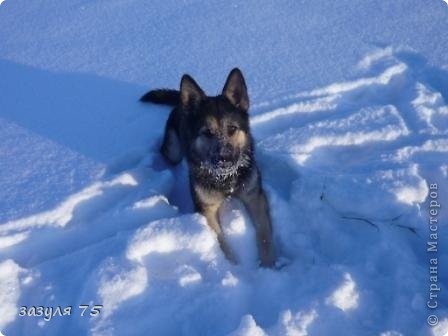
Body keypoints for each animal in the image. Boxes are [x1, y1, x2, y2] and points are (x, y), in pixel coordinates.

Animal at [140, 69, 274, 268]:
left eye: (232, 129)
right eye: (207, 133)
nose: (224, 160)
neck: (226, 180)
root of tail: (180, 103)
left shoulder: (254, 198)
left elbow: (264, 234)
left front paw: (269, 265)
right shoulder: (206, 210)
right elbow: (220, 240)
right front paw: (232, 267)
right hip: (173, 150)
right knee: (166, 153)